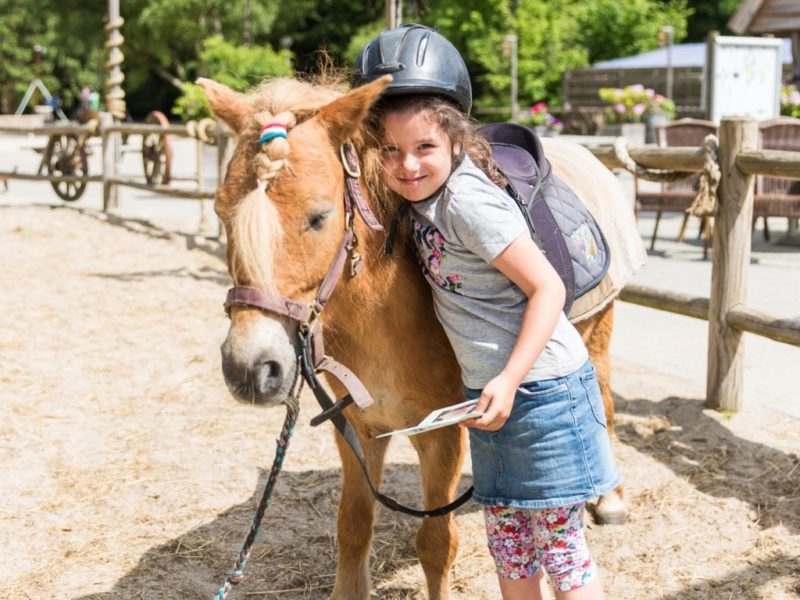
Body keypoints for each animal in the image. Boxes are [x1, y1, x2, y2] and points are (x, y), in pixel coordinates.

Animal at [198, 75, 644, 600]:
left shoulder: (442, 435)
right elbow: (352, 527)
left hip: (599, 330)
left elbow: (435, 543)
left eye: (319, 216)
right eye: (221, 212)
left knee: (606, 406)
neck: (384, 322)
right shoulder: (359, 429)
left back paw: (611, 500)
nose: (249, 368)